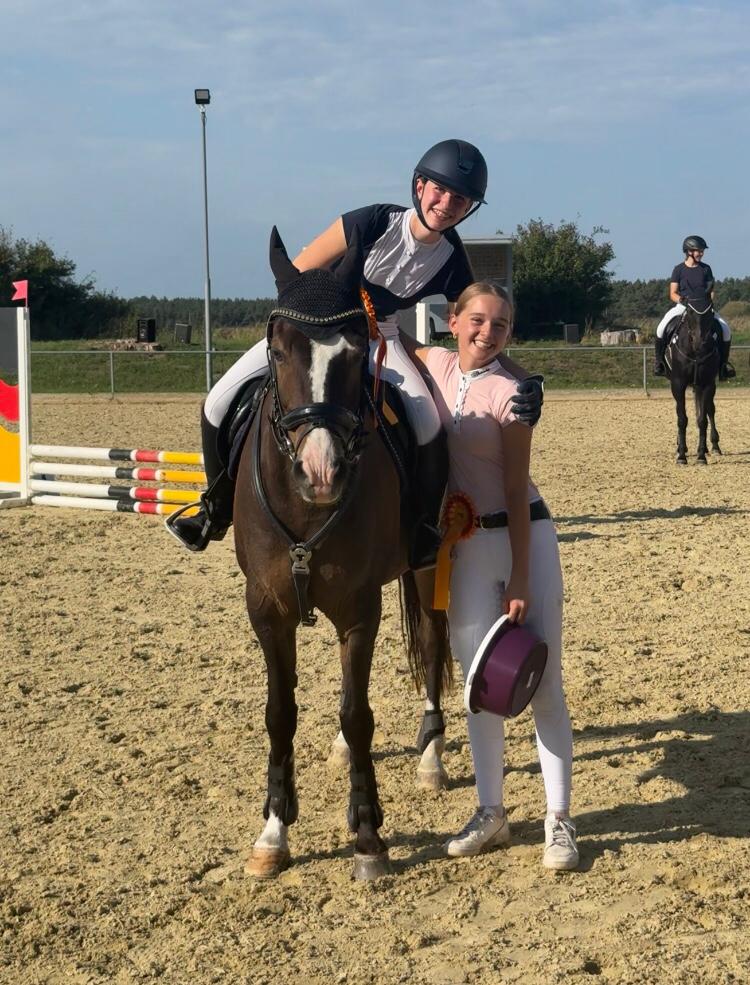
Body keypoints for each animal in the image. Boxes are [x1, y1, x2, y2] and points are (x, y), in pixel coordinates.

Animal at [233, 228, 452, 881]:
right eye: (278, 351)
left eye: (357, 352)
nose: (321, 472)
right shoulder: (267, 610)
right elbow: (280, 713)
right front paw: (273, 832)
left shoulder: (359, 608)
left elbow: (358, 713)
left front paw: (369, 835)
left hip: (427, 566)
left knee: (432, 644)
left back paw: (432, 758)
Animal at [665, 300, 722, 465]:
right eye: (690, 312)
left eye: (710, 311)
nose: (700, 342)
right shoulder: (678, 384)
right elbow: (682, 418)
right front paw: (681, 455)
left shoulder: (707, 384)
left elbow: (702, 419)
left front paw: (701, 456)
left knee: (709, 410)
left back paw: (714, 447)